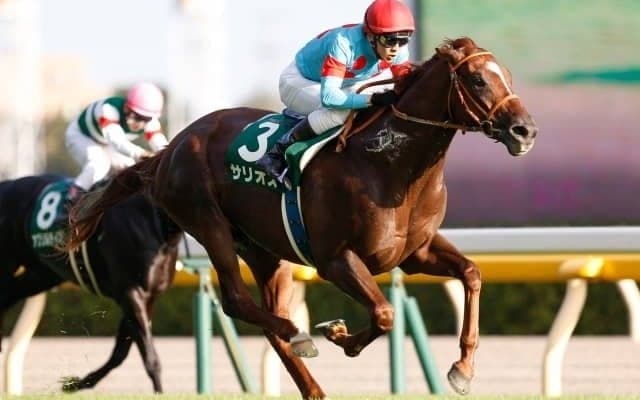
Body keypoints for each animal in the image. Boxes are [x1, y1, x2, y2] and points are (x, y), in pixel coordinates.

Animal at [0, 173, 182, 393]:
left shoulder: (147, 297)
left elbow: (120, 353)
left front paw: (75, 384)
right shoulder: (131, 291)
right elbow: (149, 356)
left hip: (40, 275)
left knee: (6, 296)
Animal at [66, 37, 537, 398]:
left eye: (509, 77)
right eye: (477, 79)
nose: (525, 130)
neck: (389, 163)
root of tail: (170, 148)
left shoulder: (414, 254)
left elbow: (472, 274)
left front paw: (462, 370)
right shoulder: (335, 259)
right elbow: (384, 314)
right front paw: (340, 337)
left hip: (262, 250)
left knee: (267, 318)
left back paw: (311, 383)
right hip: (207, 221)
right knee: (238, 301)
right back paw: (302, 335)